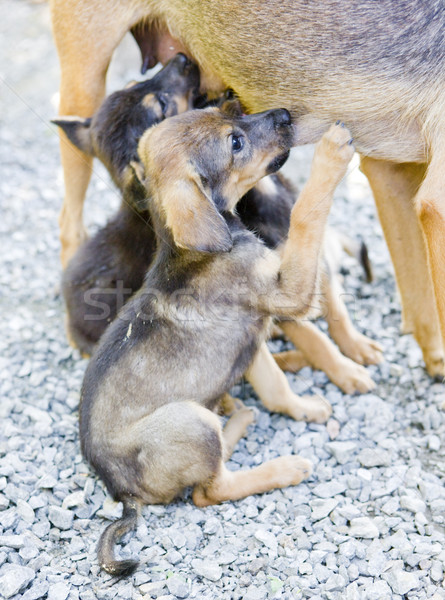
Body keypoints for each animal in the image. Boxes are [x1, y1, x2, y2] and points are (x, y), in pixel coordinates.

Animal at [78, 110, 352, 576]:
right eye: (235, 143)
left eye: (230, 114)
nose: (284, 114)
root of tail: (120, 493)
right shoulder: (288, 293)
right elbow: (306, 214)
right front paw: (332, 154)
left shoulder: (252, 334)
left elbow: (276, 388)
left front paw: (304, 409)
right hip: (188, 421)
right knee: (210, 491)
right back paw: (283, 466)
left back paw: (236, 417)